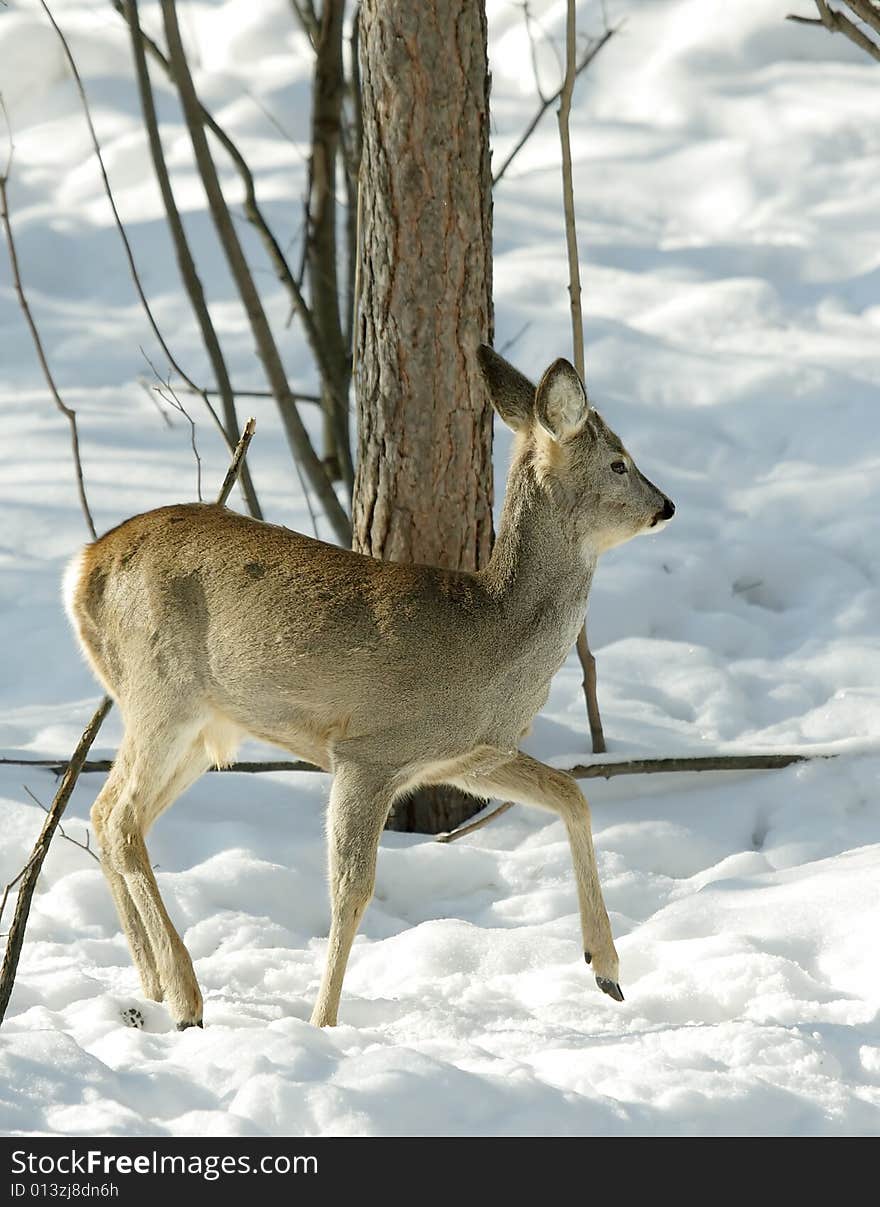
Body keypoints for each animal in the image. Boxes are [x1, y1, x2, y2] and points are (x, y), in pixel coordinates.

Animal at [65, 347, 675, 1028]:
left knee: (105, 814)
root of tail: (83, 566)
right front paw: (323, 1023)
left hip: (203, 728)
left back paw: (150, 986)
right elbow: (351, 889)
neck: (492, 637)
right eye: (619, 462)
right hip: (161, 693)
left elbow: (573, 793)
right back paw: (185, 995)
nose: (666, 505)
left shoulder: (470, 757)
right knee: (121, 819)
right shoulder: (370, 751)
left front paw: (607, 969)